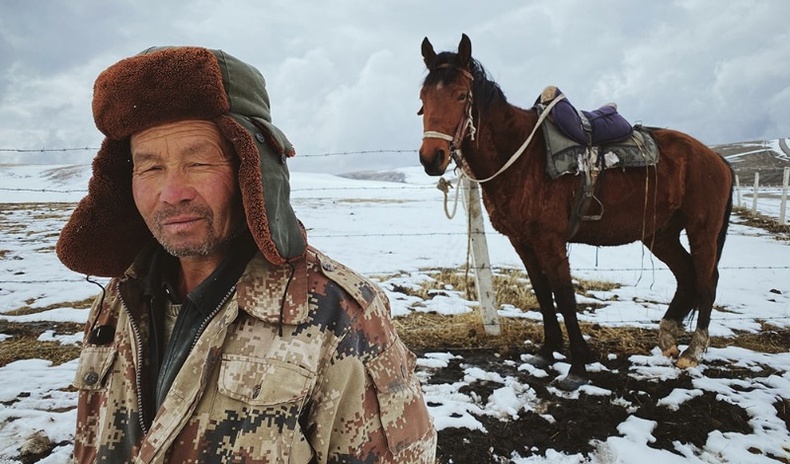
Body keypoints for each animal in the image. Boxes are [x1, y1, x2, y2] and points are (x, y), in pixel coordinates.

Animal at [420, 34, 736, 388]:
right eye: (423, 98)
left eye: (461, 95)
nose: (431, 157)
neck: (523, 157)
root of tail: (716, 159)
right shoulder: (522, 241)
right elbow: (543, 293)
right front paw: (547, 352)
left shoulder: (550, 241)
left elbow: (564, 297)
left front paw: (578, 365)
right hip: (660, 234)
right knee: (686, 275)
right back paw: (668, 338)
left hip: (702, 231)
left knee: (707, 279)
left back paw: (692, 352)